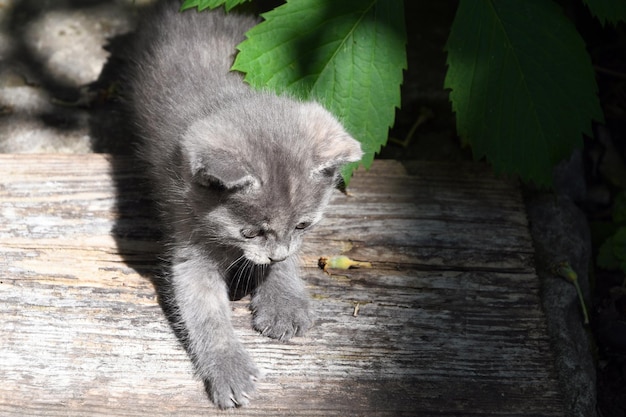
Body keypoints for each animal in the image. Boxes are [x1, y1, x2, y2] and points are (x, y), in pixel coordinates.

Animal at [124, 0, 360, 410]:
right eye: (249, 232)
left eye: (303, 225)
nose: (277, 253)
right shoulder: (188, 246)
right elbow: (206, 315)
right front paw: (228, 369)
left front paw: (284, 298)